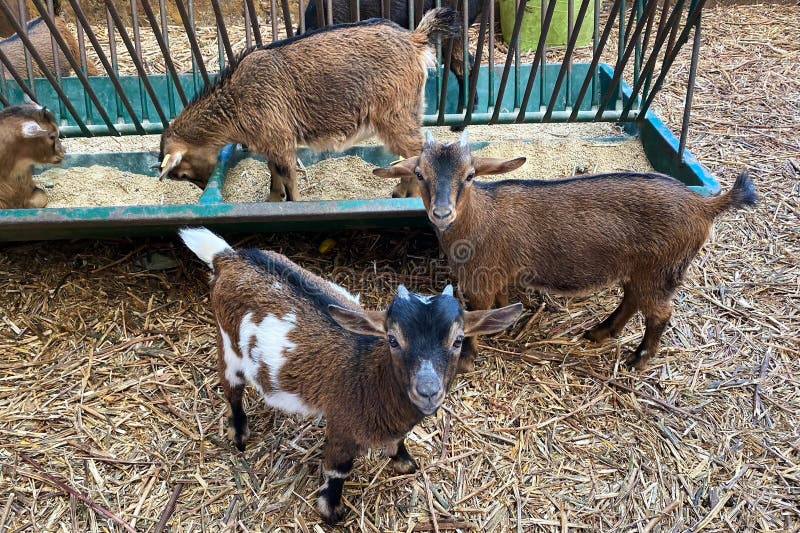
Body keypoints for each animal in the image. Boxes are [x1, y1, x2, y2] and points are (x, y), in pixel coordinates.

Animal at [159, 8, 460, 204]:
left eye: (182, 172)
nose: (202, 189)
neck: (236, 100)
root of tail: (414, 40)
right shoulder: (270, 142)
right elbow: (273, 172)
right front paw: (272, 200)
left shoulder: (279, 138)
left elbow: (287, 176)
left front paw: (293, 202)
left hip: (394, 114)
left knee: (417, 151)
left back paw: (407, 195)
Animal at [178, 227, 520, 520]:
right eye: (393, 339)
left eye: (458, 340)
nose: (427, 390)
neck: (369, 373)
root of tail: (228, 256)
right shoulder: (342, 424)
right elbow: (337, 470)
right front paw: (331, 511)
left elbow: (397, 442)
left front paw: (404, 463)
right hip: (229, 344)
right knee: (232, 389)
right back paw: (239, 434)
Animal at [372, 130, 760, 370]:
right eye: (420, 175)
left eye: (469, 176)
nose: (442, 213)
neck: (480, 216)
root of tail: (705, 205)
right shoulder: (499, 276)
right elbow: (500, 303)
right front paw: (503, 326)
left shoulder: (480, 278)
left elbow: (473, 317)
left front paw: (466, 360)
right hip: (640, 269)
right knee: (633, 299)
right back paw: (599, 333)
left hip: (662, 270)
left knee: (659, 313)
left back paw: (638, 360)